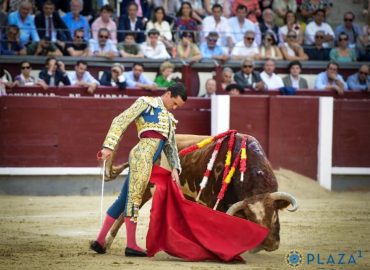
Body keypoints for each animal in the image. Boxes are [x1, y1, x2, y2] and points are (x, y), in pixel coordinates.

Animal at [103, 132, 298, 252]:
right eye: (251, 218)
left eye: (274, 214)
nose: (269, 244)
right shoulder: (214, 203)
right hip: (145, 187)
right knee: (125, 213)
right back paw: (107, 243)